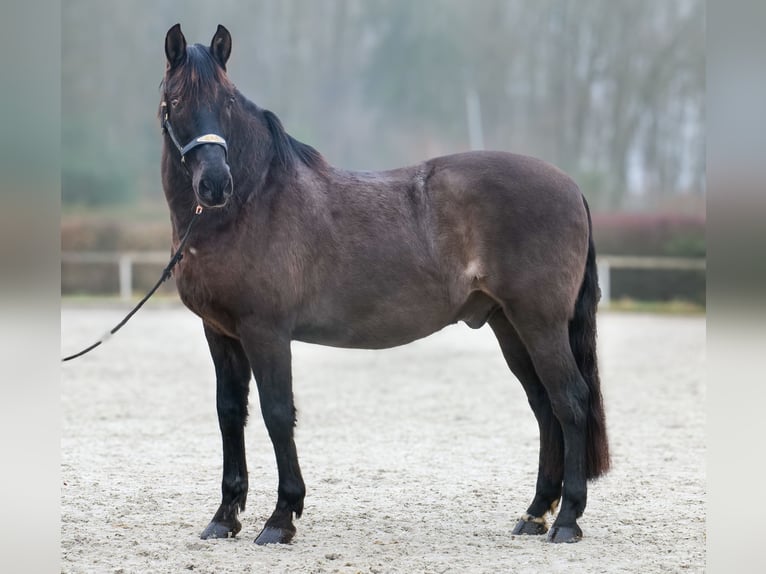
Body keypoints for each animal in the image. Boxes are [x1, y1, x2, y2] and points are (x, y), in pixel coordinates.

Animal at [158, 23, 609, 545]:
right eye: (176, 100)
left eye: (227, 101)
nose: (214, 184)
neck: (252, 201)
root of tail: (571, 186)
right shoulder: (221, 332)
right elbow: (230, 412)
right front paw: (224, 516)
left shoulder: (265, 331)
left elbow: (277, 412)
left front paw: (281, 518)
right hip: (510, 325)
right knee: (544, 406)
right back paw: (536, 513)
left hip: (540, 322)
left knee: (570, 401)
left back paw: (568, 519)